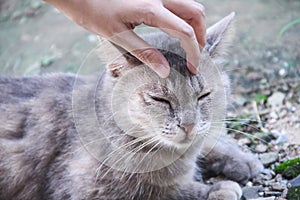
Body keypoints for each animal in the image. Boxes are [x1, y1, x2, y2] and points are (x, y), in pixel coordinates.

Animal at [0, 12, 262, 200]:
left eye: (204, 95)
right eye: (160, 99)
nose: (188, 125)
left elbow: (206, 141)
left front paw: (240, 158)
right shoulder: (88, 187)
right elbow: (163, 192)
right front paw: (216, 190)